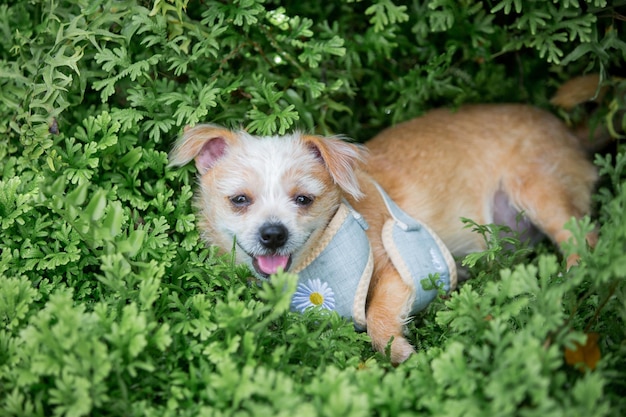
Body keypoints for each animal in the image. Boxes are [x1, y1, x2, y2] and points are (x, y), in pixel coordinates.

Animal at [169, 103, 596, 364]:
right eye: (239, 200)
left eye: (303, 199)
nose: (272, 234)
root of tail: (568, 131)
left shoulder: (398, 268)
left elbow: (376, 315)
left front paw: (397, 351)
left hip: (538, 191)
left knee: (585, 239)